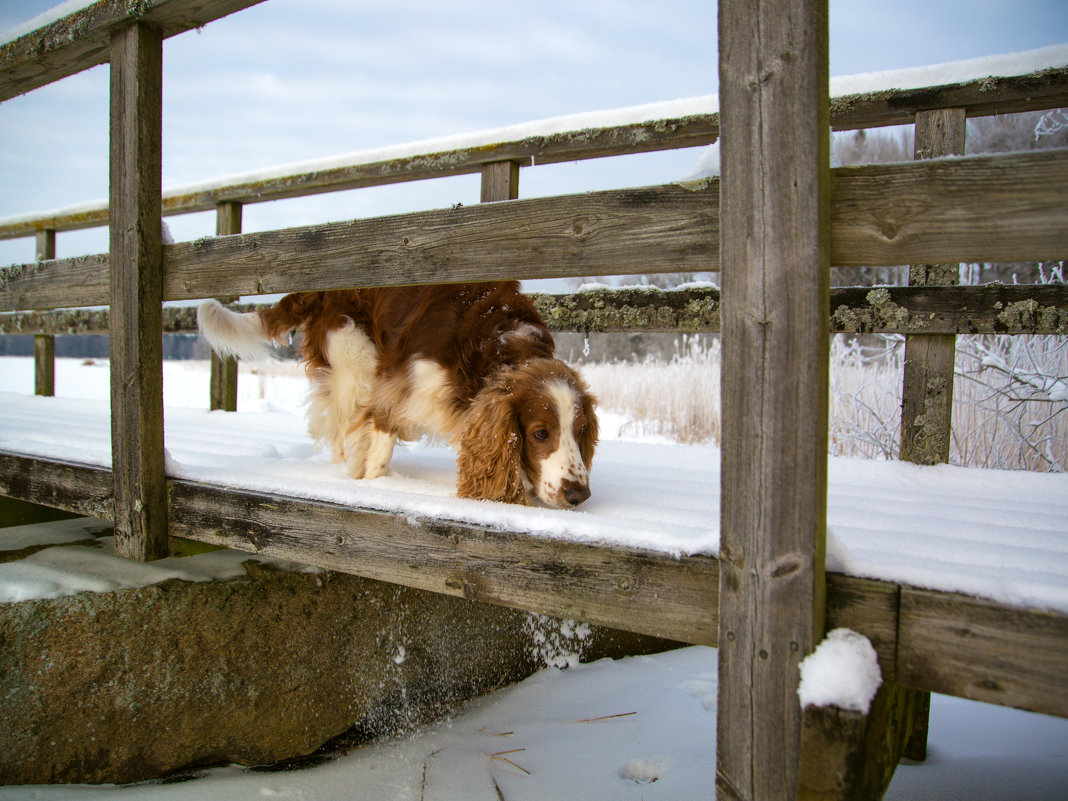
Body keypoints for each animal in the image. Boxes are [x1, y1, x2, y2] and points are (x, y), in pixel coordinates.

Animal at [198, 281, 602, 508]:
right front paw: (370, 481)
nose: (579, 496)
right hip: (355, 355)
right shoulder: (396, 392)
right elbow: (378, 443)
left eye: (581, 430)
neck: (499, 344)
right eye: (540, 433)